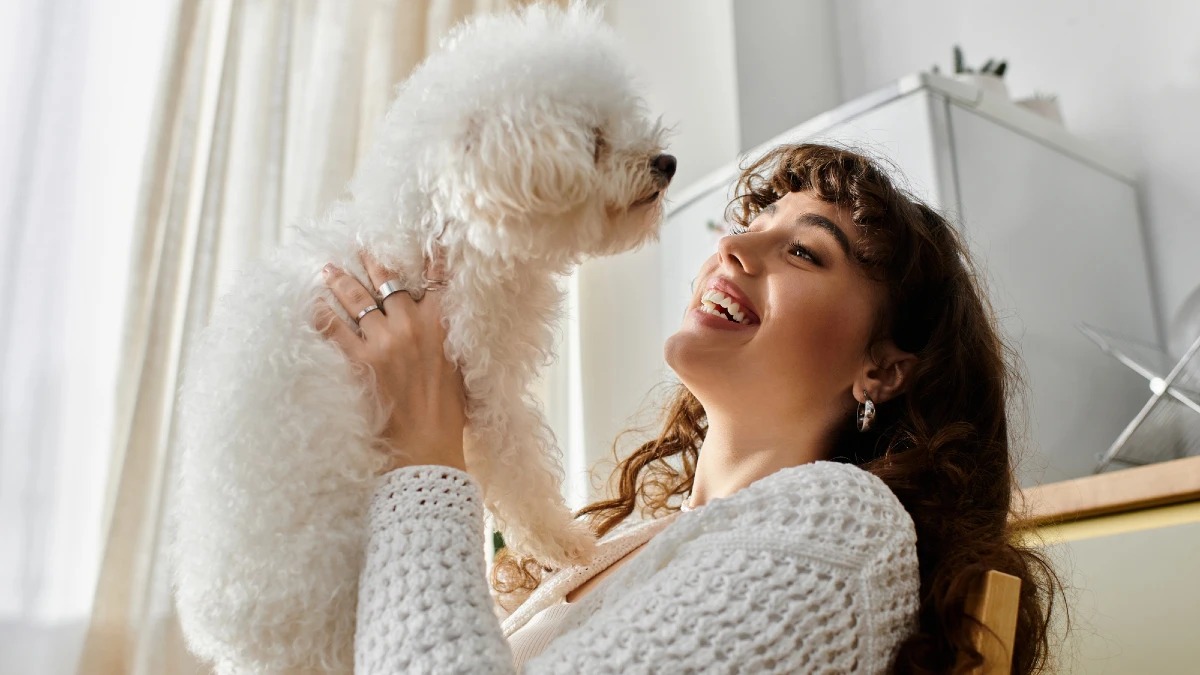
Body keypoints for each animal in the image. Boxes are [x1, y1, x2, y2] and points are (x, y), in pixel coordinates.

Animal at [169, 2, 676, 667]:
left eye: (625, 118)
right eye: (594, 141)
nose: (666, 162)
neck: (440, 230)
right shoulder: (487, 391)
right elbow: (523, 476)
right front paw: (567, 544)